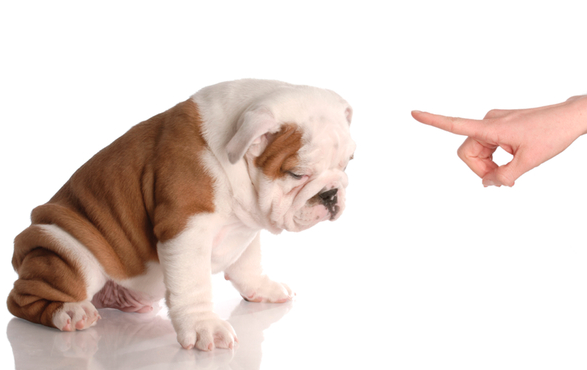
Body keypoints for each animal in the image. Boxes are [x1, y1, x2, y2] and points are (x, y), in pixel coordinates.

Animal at [9, 78, 356, 350]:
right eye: (297, 174)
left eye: (348, 163)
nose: (330, 194)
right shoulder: (187, 227)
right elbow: (193, 283)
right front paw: (205, 327)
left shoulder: (247, 224)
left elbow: (247, 264)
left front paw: (263, 289)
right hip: (68, 251)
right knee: (22, 299)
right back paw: (69, 312)